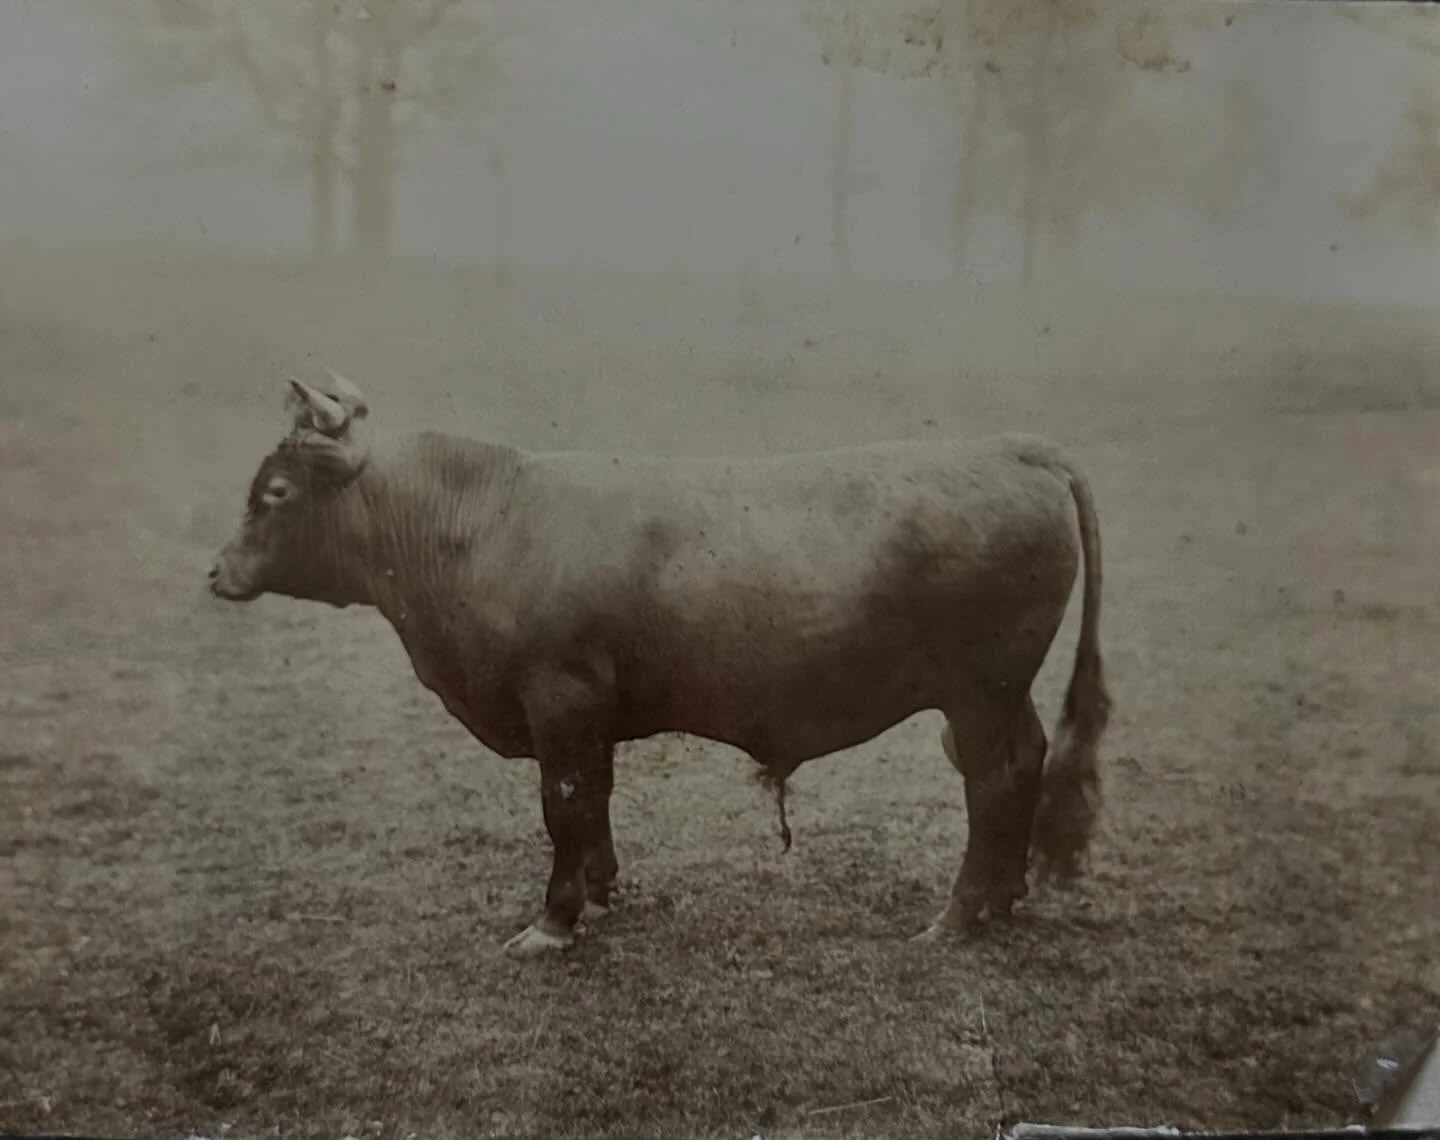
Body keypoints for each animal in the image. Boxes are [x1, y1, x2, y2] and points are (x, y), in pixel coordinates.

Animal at [207, 372, 1112, 957]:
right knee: (1026, 760)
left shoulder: (560, 697)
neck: (479, 522)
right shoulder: (588, 712)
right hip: (1004, 689)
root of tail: (1014, 448)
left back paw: (958, 916)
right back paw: (1006, 898)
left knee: (992, 779)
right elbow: (595, 799)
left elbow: (565, 803)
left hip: (980, 686)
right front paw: (603, 891)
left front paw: (553, 921)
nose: (215, 571)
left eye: (277, 492)